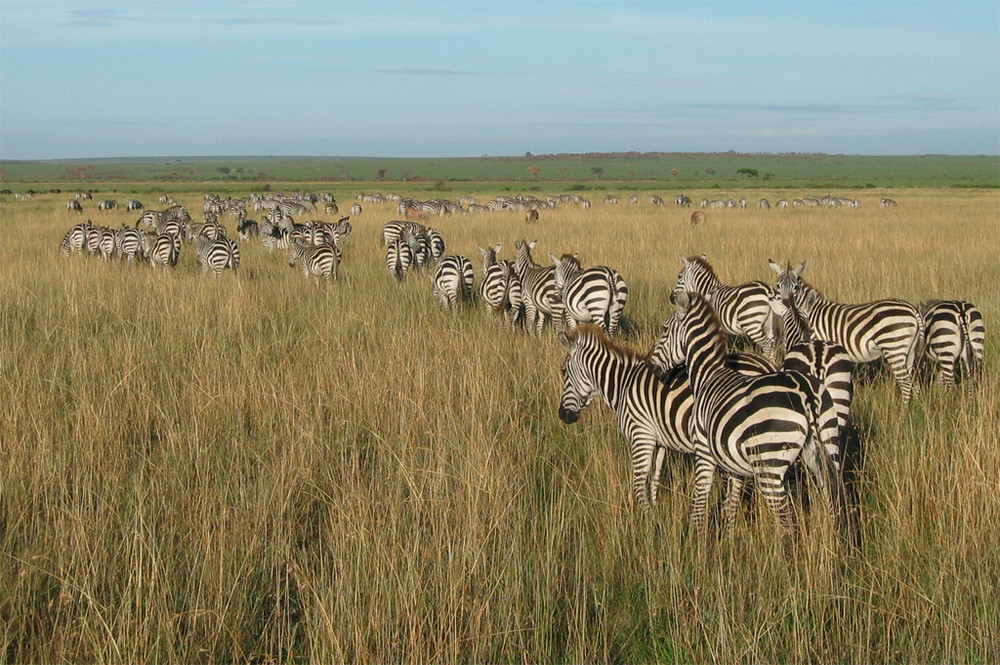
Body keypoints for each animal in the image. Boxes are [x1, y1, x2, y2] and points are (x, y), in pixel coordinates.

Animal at [560, 322, 776, 508]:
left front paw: (646, 521)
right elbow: (655, 478)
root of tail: (766, 365)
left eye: (563, 371)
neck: (624, 383)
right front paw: (655, 510)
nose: (563, 415)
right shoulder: (661, 440)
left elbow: (640, 483)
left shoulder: (641, 435)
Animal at [648, 292, 852, 540]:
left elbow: (700, 500)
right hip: (827, 445)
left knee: (788, 522)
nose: (651, 366)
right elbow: (731, 503)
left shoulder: (704, 450)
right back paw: (836, 541)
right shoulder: (731, 461)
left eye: (665, 329)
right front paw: (728, 538)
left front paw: (698, 541)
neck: (708, 374)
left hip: (770, 465)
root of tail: (806, 395)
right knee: (832, 499)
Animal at [768, 260, 924, 404]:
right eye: (778, 285)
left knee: (905, 382)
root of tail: (913, 310)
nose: (787, 304)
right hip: (909, 350)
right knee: (914, 379)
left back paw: (903, 410)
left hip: (894, 347)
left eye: (796, 287)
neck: (810, 311)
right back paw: (914, 406)